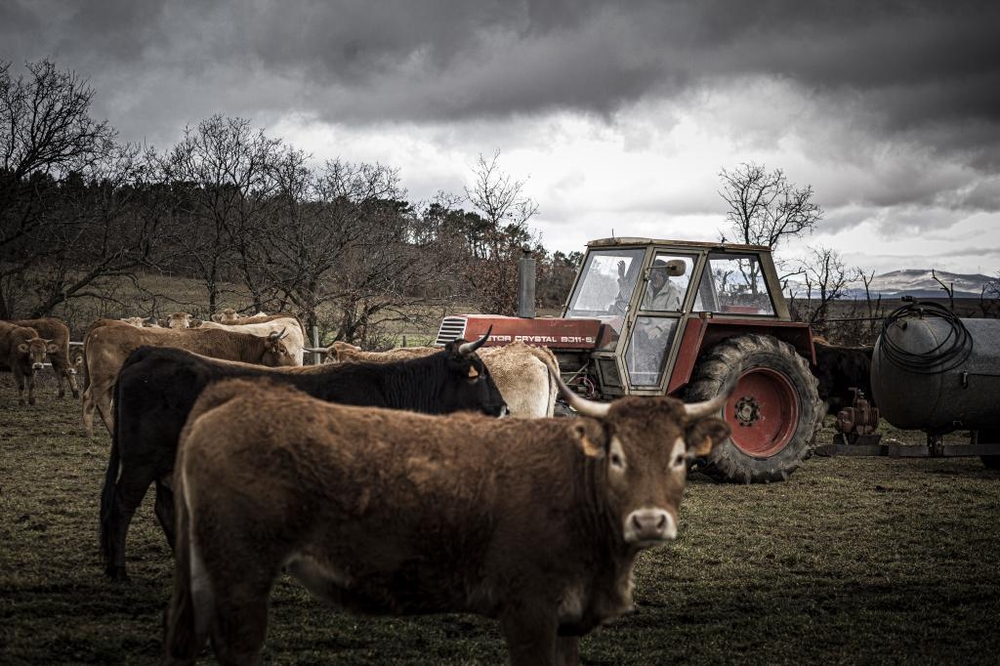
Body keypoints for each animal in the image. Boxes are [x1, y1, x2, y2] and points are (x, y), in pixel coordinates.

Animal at [80, 320, 296, 438]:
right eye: (282, 350)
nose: (296, 366)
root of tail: (104, 325)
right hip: (102, 377)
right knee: (91, 399)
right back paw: (90, 433)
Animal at [101, 334, 504, 580]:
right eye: (477, 373)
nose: (503, 407)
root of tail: (151, 352)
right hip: (140, 462)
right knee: (122, 505)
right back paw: (118, 570)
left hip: (166, 465)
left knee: (165, 509)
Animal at [162, 374, 728, 664]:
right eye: (616, 457)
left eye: (680, 457)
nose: (649, 521)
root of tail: (238, 394)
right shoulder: (529, 612)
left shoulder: (568, 619)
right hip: (242, 578)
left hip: (205, 571)